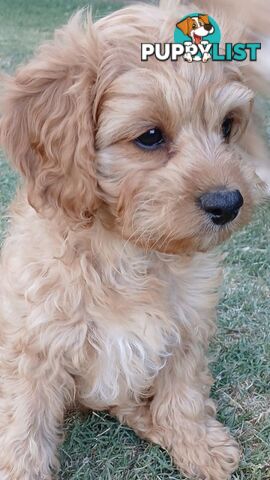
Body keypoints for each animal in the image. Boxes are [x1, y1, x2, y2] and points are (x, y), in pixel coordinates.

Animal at [0, 0, 268, 478]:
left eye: (227, 127)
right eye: (150, 137)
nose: (229, 203)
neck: (130, 250)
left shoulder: (187, 326)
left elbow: (184, 393)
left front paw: (199, 444)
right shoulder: (34, 343)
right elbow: (24, 427)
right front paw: (21, 470)